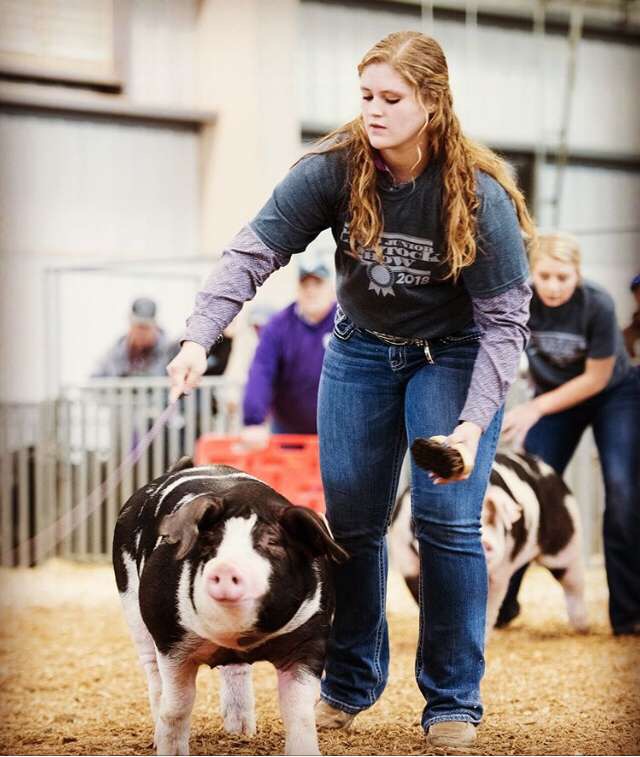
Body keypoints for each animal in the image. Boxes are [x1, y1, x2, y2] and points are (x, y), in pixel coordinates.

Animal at [112, 454, 348, 756]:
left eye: (272, 542)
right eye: (211, 540)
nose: (225, 567)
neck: (241, 637)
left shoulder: (310, 640)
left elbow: (299, 712)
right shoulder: (170, 638)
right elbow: (177, 705)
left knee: (236, 669)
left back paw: (242, 732)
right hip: (132, 604)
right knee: (153, 673)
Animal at [384, 452, 592, 636]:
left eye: (492, 515)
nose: (484, 541)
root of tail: (548, 470)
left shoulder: (500, 572)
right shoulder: (406, 561)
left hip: (567, 542)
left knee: (573, 582)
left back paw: (582, 627)